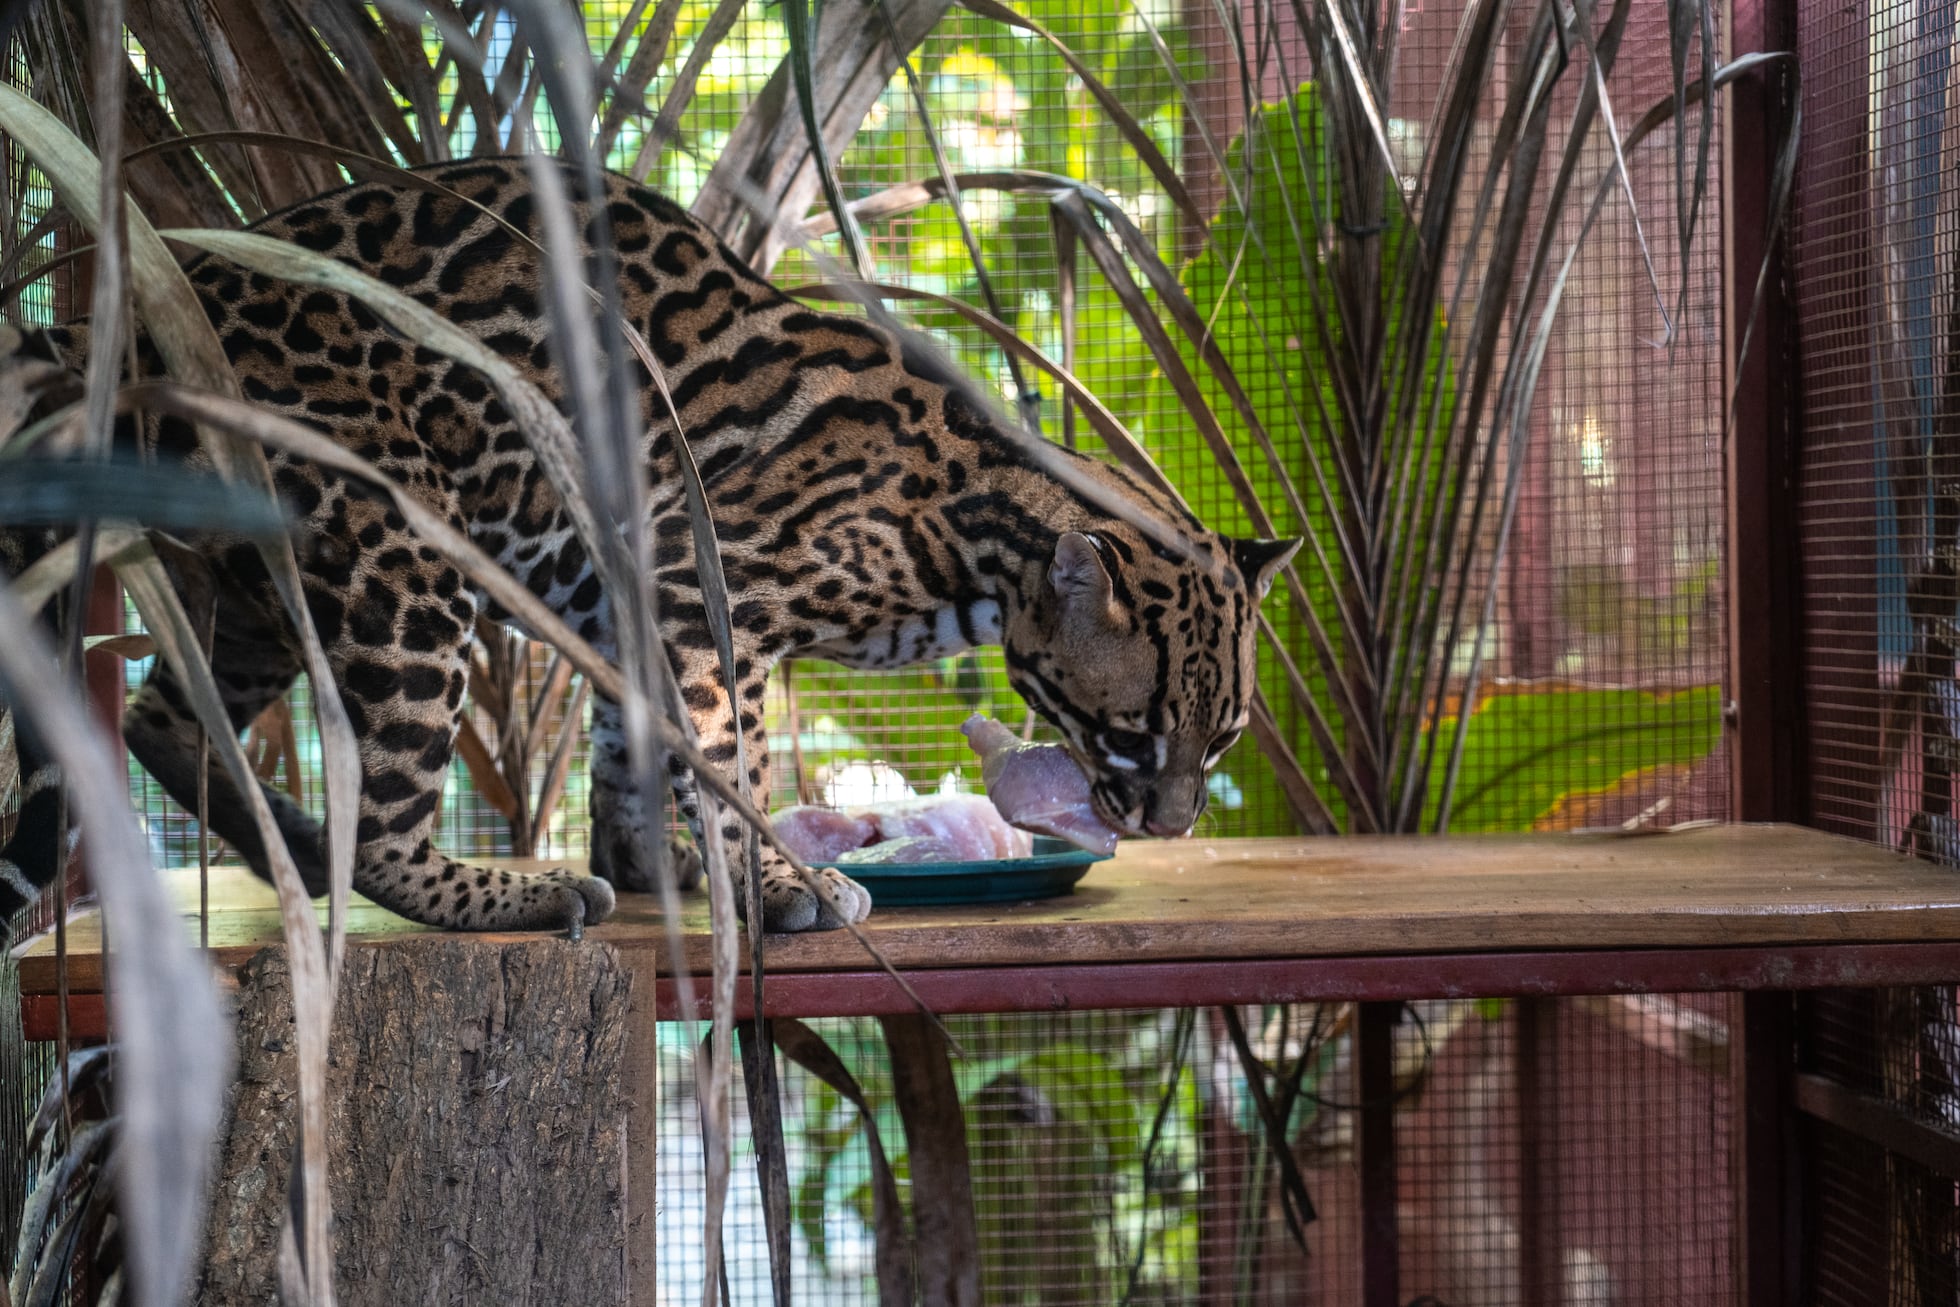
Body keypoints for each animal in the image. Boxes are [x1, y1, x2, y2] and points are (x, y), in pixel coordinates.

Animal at [0, 156, 1300, 936]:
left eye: (1224, 735)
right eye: (1133, 733)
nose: (1172, 825)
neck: (987, 528)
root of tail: (117, 321)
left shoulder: (637, 598)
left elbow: (634, 751)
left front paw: (659, 865)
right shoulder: (704, 579)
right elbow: (728, 762)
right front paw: (768, 877)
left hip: (267, 580)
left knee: (167, 717)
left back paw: (292, 840)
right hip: (399, 547)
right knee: (384, 816)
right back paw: (491, 890)